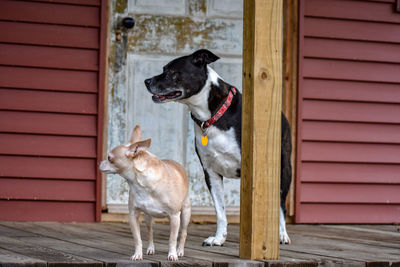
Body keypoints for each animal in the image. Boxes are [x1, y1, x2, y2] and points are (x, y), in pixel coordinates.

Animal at [144, 49, 290, 246]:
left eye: (172, 72)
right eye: (163, 69)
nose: (147, 81)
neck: (212, 116)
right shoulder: (211, 173)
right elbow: (220, 211)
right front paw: (219, 238)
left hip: (284, 171)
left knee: (280, 204)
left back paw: (281, 234)